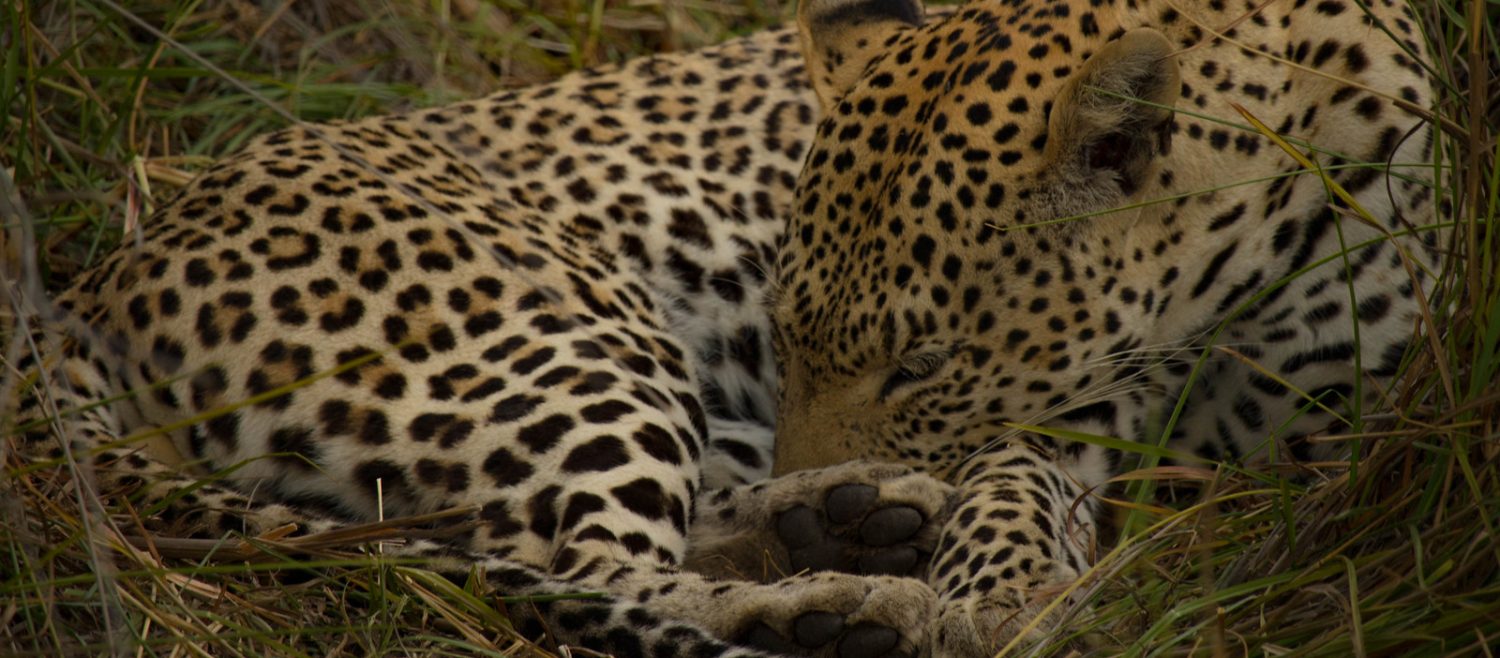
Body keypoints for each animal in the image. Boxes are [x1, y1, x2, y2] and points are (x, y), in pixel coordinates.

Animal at [775, 0, 1443, 653]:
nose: (790, 567)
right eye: (785, 340)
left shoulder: (1334, 415)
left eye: (920, 369)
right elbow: (1012, 468)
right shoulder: (1087, 400)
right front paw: (1001, 584)